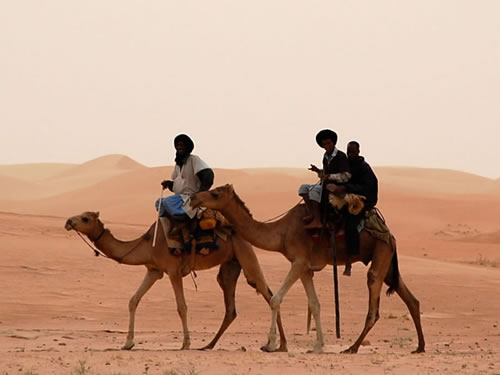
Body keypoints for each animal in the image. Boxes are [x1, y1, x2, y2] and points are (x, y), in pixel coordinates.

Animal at [64, 212, 288, 352]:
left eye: (85, 218)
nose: (68, 221)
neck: (147, 243)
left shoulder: (173, 271)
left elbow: (182, 306)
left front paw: (185, 344)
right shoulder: (154, 271)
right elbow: (133, 300)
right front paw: (128, 343)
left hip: (245, 253)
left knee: (267, 293)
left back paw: (278, 345)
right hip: (230, 265)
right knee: (231, 306)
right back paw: (208, 345)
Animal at [191, 185, 426, 356]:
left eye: (214, 193)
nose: (193, 197)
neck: (282, 232)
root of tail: (391, 234)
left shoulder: (299, 261)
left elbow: (275, 298)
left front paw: (270, 344)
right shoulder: (305, 269)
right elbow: (315, 304)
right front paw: (317, 346)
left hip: (381, 250)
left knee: (373, 294)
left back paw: (352, 347)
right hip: (386, 260)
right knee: (411, 299)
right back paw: (420, 346)